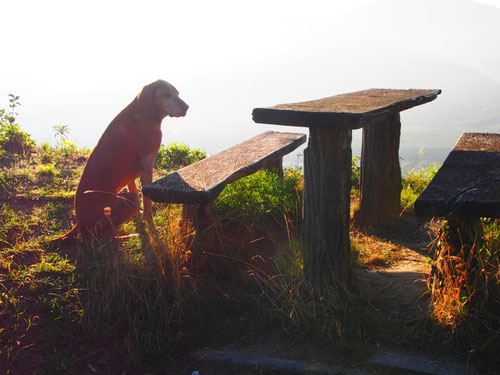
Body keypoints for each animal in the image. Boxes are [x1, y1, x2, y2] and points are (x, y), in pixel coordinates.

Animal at [51, 79, 189, 245]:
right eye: (167, 95)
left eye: (177, 93)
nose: (187, 107)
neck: (144, 113)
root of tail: (79, 224)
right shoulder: (146, 169)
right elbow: (148, 208)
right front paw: (152, 228)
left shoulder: (133, 174)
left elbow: (134, 190)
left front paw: (139, 217)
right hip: (125, 202)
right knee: (106, 238)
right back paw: (129, 236)